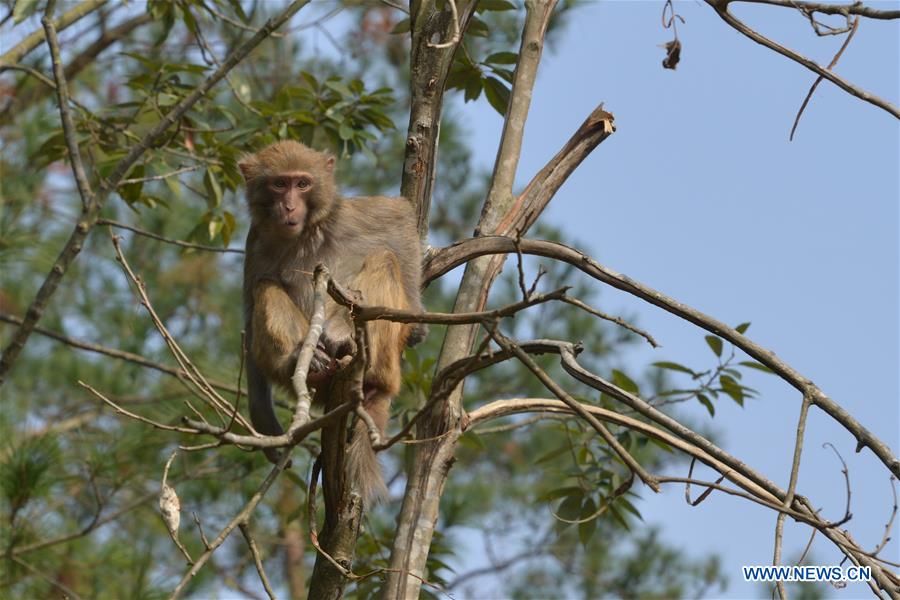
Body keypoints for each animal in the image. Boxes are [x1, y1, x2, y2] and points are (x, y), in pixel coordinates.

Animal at [237, 141, 424, 502]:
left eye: (302, 183)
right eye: (279, 184)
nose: (289, 206)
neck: (307, 233)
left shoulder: (346, 216)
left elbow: (400, 218)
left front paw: (416, 323)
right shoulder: (255, 240)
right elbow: (251, 309)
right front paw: (263, 418)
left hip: (385, 360)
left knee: (384, 259)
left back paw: (347, 343)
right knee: (265, 286)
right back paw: (303, 362)